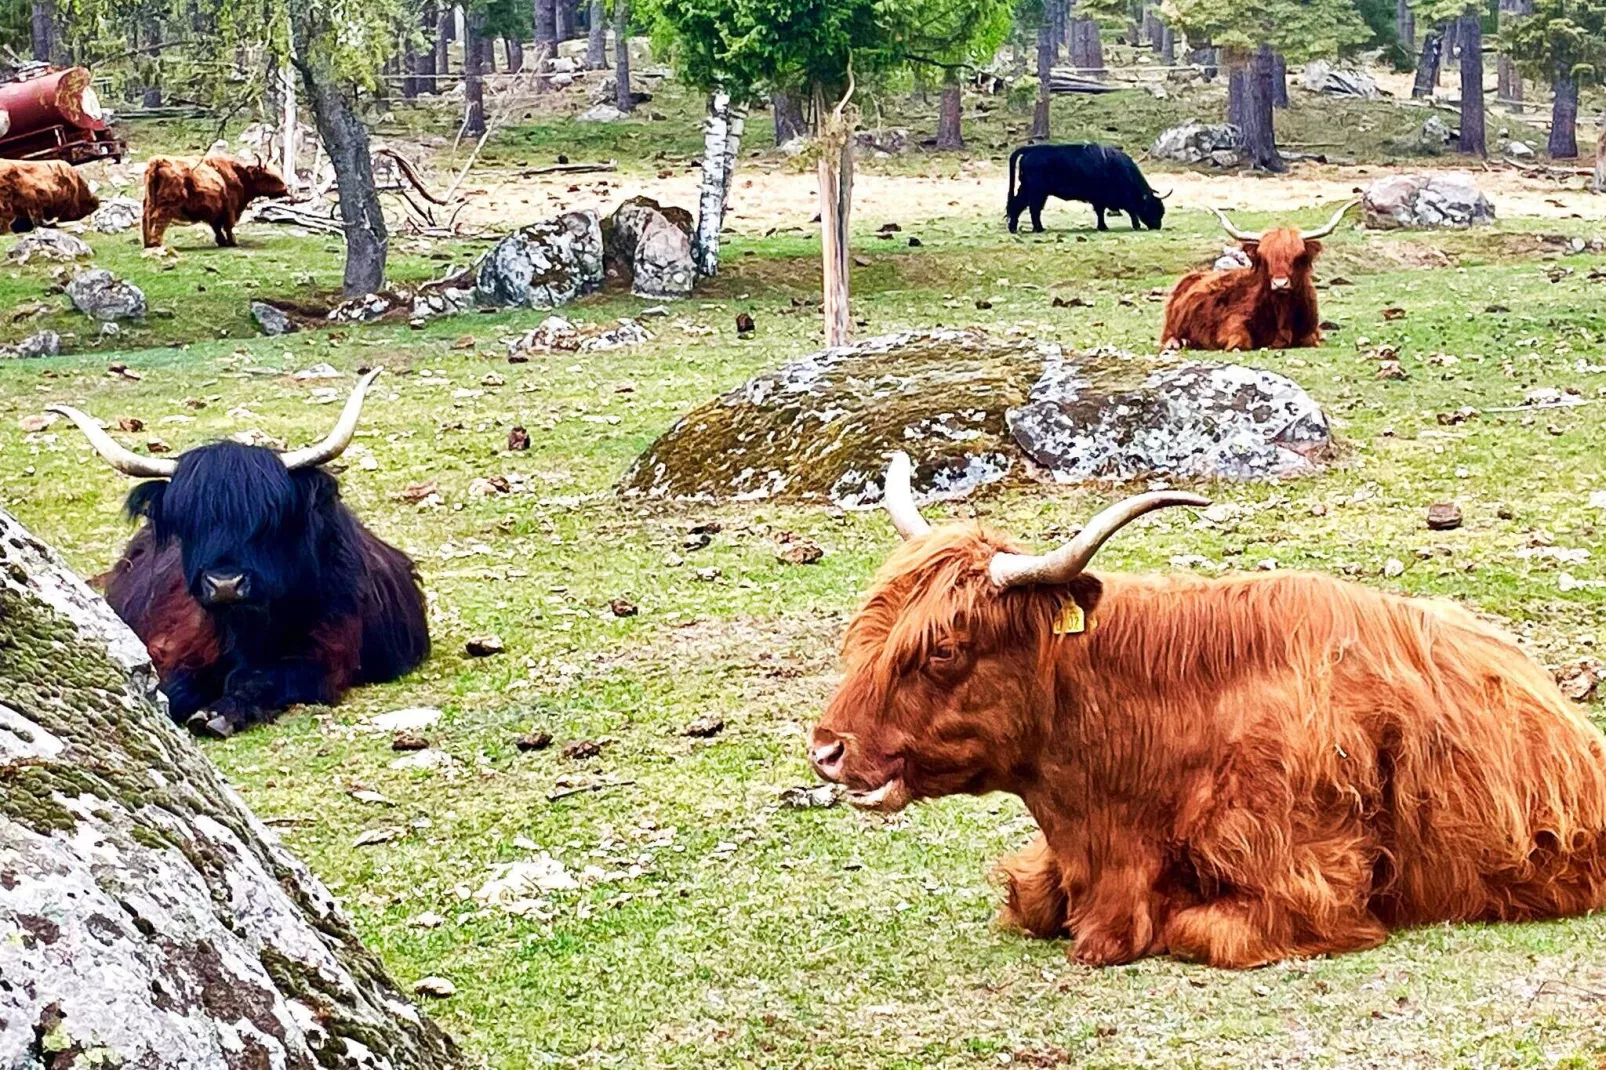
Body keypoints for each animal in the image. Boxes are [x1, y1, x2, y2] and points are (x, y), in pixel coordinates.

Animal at [50, 369, 430, 732]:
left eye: (271, 517)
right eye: (188, 520)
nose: (225, 584)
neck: (248, 630)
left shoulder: (325, 656)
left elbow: (267, 682)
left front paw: (219, 714)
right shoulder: (173, 646)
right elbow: (176, 685)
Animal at [142, 154, 292, 247]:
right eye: (270, 177)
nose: (286, 189)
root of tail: (159, 161)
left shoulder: (215, 211)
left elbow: (217, 227)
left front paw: (222, 241)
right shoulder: (230, 208)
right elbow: (228, 226)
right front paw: (232, 242)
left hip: (149, 201)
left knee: (146, 218)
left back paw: (147, 242)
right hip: (168, 203)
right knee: (159, 218)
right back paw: (155, 243)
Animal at [809, 453, 1606, 970]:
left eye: (944, 649)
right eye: (869, 631)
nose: (826, 749)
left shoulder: (1309, 891)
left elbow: (1191, 928)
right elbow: (1029, 899)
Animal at [1162, 197, 1349, 348]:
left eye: (1299, 256)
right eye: (1263, 257)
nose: (1280, 284)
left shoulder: (1311, 333)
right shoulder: (1231, 325)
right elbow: (1240, 342)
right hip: (1171, 326)